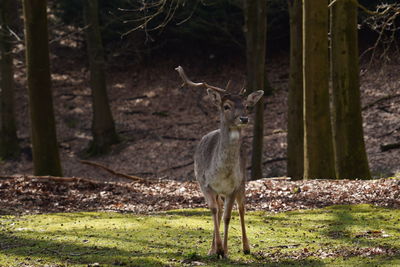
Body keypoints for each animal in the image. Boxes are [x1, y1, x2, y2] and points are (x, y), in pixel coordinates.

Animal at [174, 66, 262, 258]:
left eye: (246, 106)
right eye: (226, 106)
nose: (244, 119)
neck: (222, 173)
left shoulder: (234, 186)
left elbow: (228, 216)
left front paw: (225, 251)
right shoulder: (206, 184)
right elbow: (214, 211)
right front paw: (218, 249)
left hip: (243, 181)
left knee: (241, 208)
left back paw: (245, 247)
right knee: (219, 208)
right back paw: (212, 249)